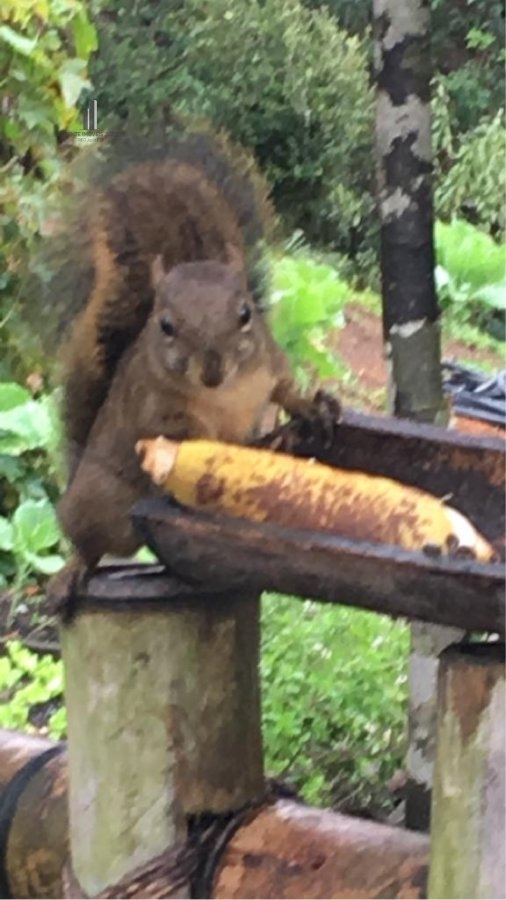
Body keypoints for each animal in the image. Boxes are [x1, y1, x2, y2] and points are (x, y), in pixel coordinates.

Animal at [43, 126, 342, 612]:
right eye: (166, 325)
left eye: (245, 314)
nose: (212, 371)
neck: (222, 395)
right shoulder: (155, 406)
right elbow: (183, 434)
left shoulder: (268, 364)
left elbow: (283, 389)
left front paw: (311, 408)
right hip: (101, 503)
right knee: (92, 546)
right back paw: (72, 573)